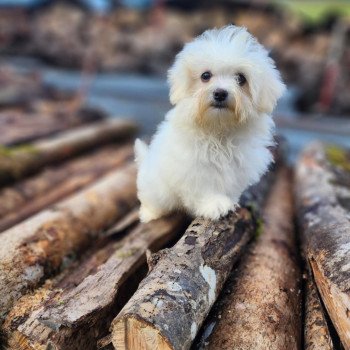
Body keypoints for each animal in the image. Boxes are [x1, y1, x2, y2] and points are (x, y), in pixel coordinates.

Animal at [134, 24, 284, 223]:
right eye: (205, 75)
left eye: (241, 78)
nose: (220, 93)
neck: (218, 129)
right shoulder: (192, 167)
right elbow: (204, 187)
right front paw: (214, 204)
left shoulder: (239, 166)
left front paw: (229, 200)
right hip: (156, 189)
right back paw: (149, 213)